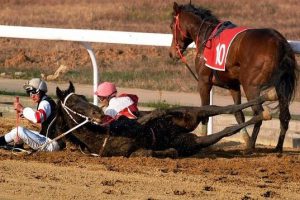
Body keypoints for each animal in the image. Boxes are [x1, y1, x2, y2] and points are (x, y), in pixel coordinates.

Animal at [50, 82, 276, 157]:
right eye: (72, 103)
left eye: (82, 97)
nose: (98, 111)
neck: (102, 133)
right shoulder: (134, 151)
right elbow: (153, 151)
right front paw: (168, 151)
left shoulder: (131, 122)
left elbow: (154, 114)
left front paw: (160, 113)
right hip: (192, 139)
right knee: (225, 130)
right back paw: (264, 111)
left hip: (192, 114)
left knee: (220, 108)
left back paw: (268, 98)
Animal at [169, 1, 298, 152]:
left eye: (171, 26)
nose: (172, 53)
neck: (207, 37)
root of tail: (279, 42)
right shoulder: (233, 85)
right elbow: (238, 113)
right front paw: (245, 138)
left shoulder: (203, 82)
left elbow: (205, 113)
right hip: (280, 86)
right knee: (285, 116)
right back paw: (277, 148)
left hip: (251, 86)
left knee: (259, 113)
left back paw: (250, 147)